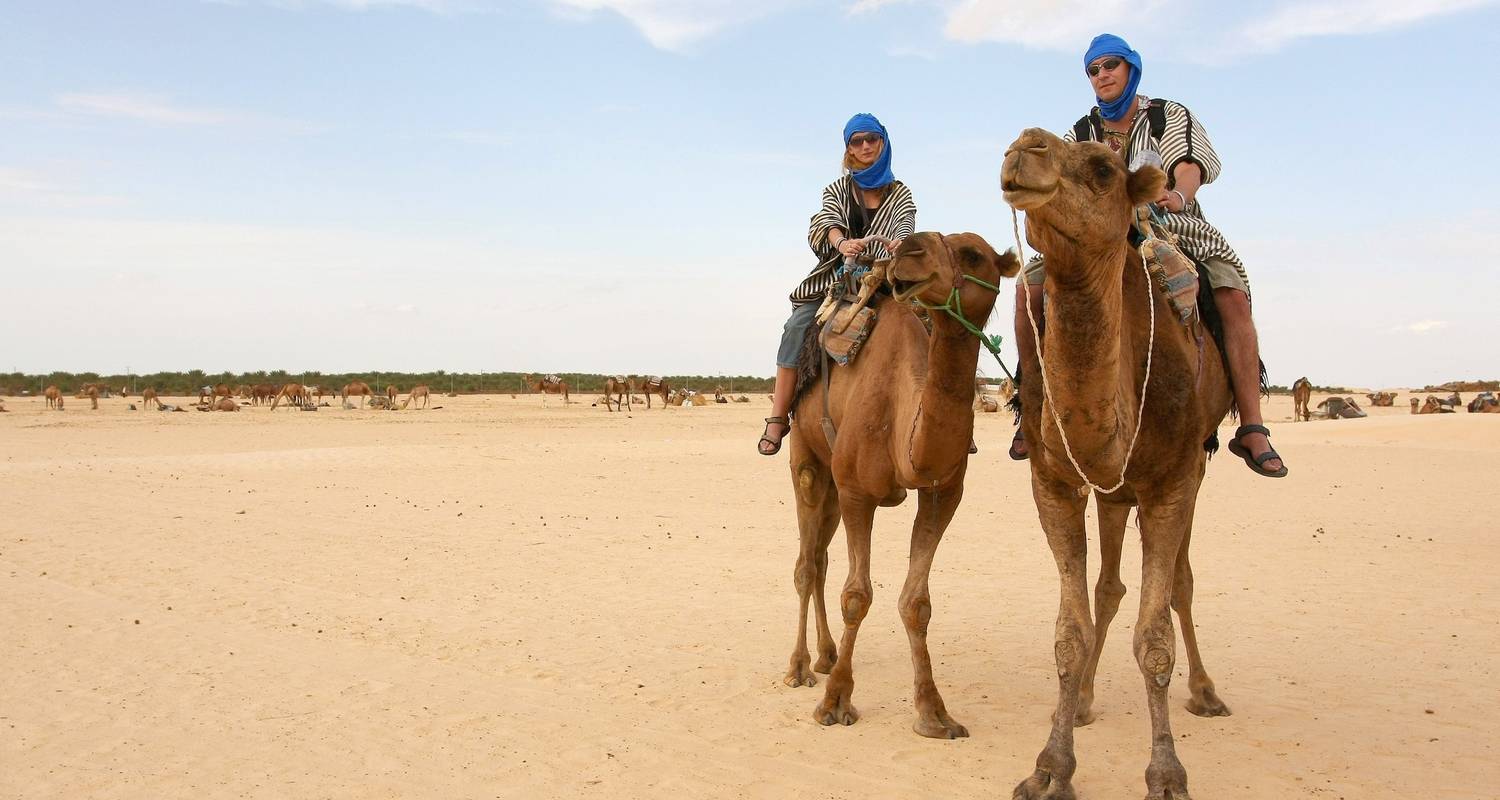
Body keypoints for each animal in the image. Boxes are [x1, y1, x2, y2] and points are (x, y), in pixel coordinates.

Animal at [780, 231, 1026, 741]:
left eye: (974, 254)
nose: (908, 253)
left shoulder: (940, 494)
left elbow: (917, 603)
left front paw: (934, 713)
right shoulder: (858, 492)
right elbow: (857, 596)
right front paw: (834, 702)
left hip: (832, 484)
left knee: (820, 559)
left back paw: (827, 655)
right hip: (808, 460)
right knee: (806, 565)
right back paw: (799, 667)